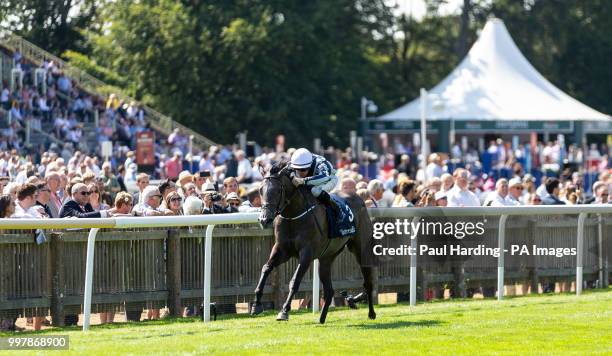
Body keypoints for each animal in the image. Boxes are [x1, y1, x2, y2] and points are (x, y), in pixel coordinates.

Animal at [250, 163, 376, 324]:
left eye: (278, 190)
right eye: (261, 190)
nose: (264, 219)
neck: (293, 216)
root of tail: (359, 198)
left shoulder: (307, 254)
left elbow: (295, 281)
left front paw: (284, 311)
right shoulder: (281, 250)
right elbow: (266, 268)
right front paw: (256, 305)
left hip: (360, 249)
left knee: (368, 282)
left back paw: (371, 313)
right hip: (327, 257)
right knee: (329, 290)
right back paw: (321, 318)